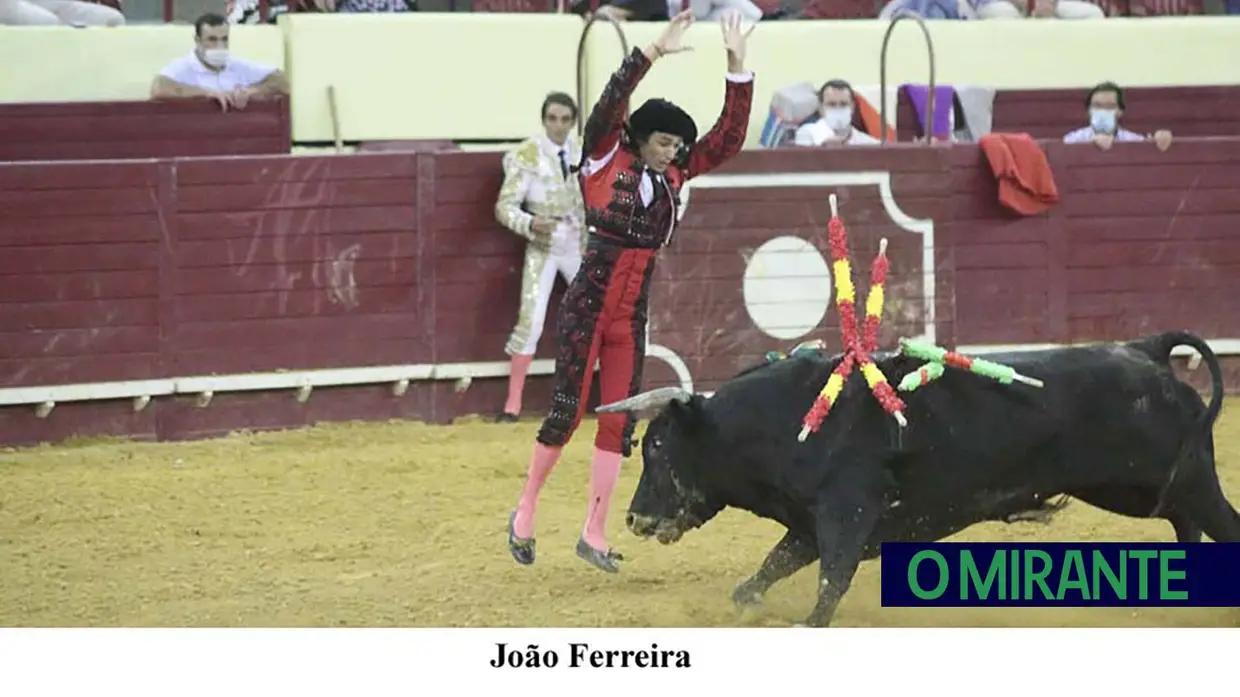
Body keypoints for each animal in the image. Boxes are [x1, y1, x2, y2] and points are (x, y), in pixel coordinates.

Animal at [595, 329, 1235, 625]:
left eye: (656, 445)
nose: (634, 516)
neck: (781, 421)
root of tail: (1146, 350)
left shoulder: (846, 515)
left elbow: (829, 587)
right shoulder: (808, 525)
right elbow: (764, 576)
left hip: (1182, 479)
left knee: (1219, 522)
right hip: (1136, 489)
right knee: (1185, 524)